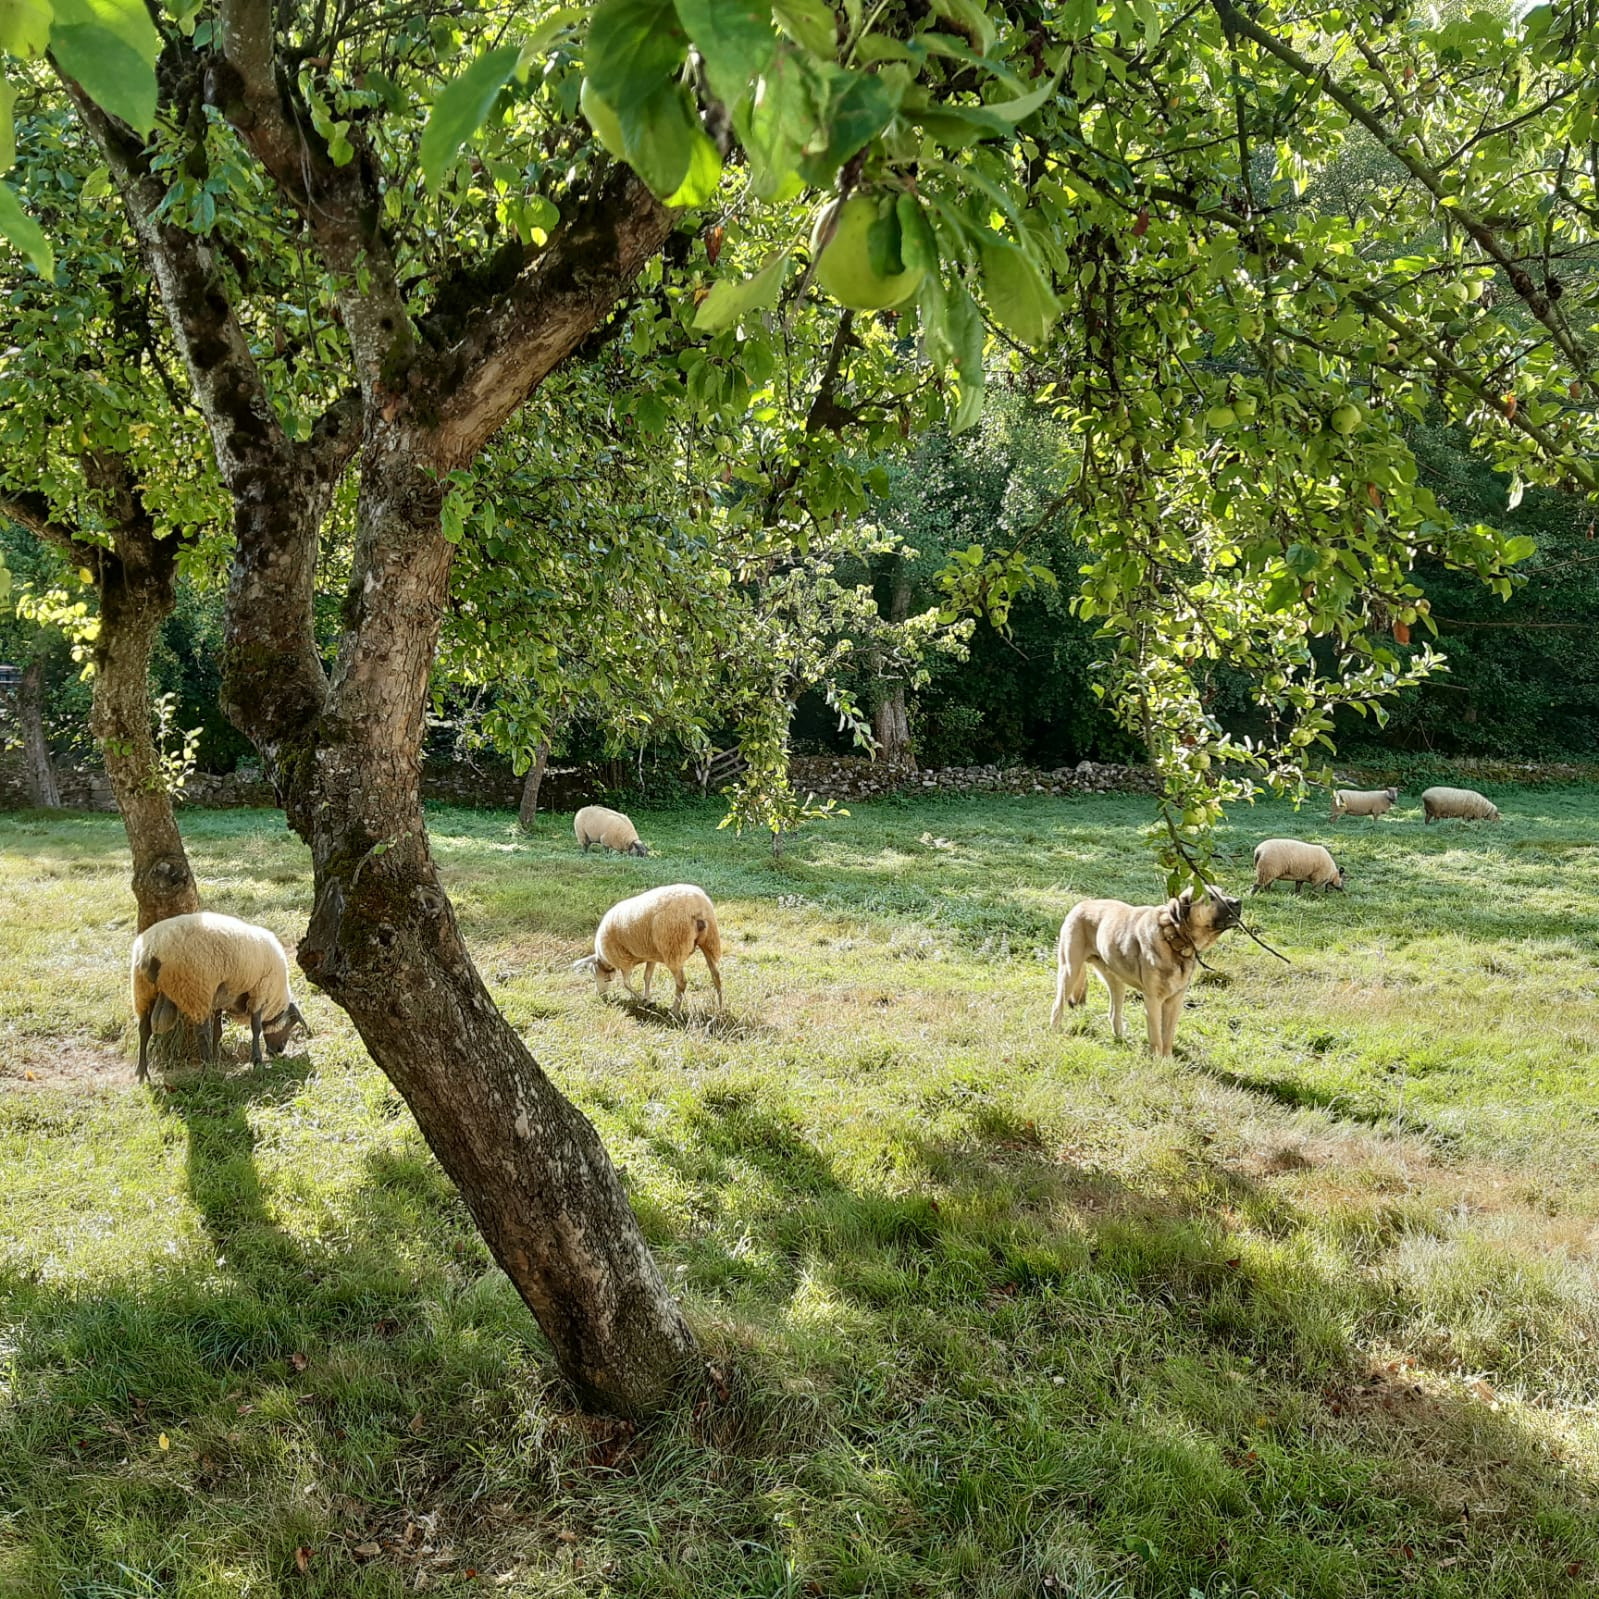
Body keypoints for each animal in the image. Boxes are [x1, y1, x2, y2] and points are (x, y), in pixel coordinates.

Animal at [129, 908, 310, 1080]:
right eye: (291, 1022)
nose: (278, 1050)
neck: (274, 1000)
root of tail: (152, 950)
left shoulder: (220, 1000)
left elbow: (218, 1031)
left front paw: (217, 1060)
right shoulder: (259, 991)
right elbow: (256, 1027)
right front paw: (257, 1061)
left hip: (143, 990)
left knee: (144, 1029)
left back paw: (141, 1073)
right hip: (196, 988)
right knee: (201, 1033)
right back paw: (207, 1069)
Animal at [575, 882, 725, 1016]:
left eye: (594, 974)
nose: (600, 995)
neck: (605, 959)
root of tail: (696, 907)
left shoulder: (624, 960)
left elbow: (626, 984)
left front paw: (644, 1001)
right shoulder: (651, 955)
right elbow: (647, 977)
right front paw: (647, 997)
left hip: (673, 947)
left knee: (681, 983)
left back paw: (675, 1012)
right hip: (709, 941)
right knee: (716, 976)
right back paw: (720, 1008)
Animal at [1055, 889, 1240, 1061]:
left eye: (1223, 892)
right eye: (1210, 897)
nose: (1239, 902)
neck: (1174, 938)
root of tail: (1081, 904)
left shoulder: (1175, 1000)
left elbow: (1168, 1036)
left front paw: (1167, 1061)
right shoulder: (1153, 999)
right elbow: (1157, 1036)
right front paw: (1158, 1061)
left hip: (1116, 981)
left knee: (1114, 1013)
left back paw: (1121, 1040)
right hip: (1070, 971)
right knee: (1058, 1006)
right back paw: (1055, 1031)